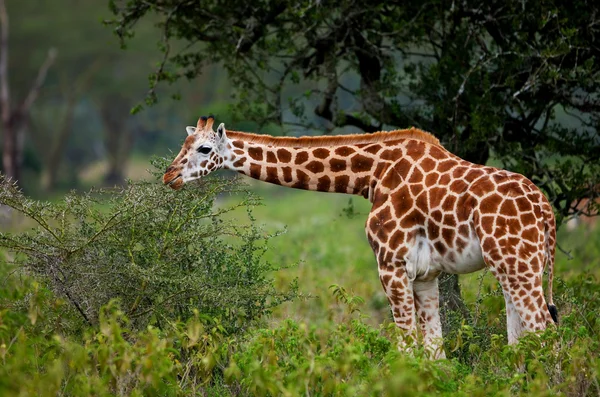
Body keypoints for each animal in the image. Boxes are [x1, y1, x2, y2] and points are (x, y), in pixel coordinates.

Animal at [163, 115, 556, 358]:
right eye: (183, 144)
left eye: (204, 149)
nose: (169, 176)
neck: (371, 174)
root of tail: (546, 210)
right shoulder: (426, 274)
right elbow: (435, 351)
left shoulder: (391, 264)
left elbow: (406, 346)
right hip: (518, 266)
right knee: (523, 336)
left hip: (516, 265)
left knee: (545, 329)